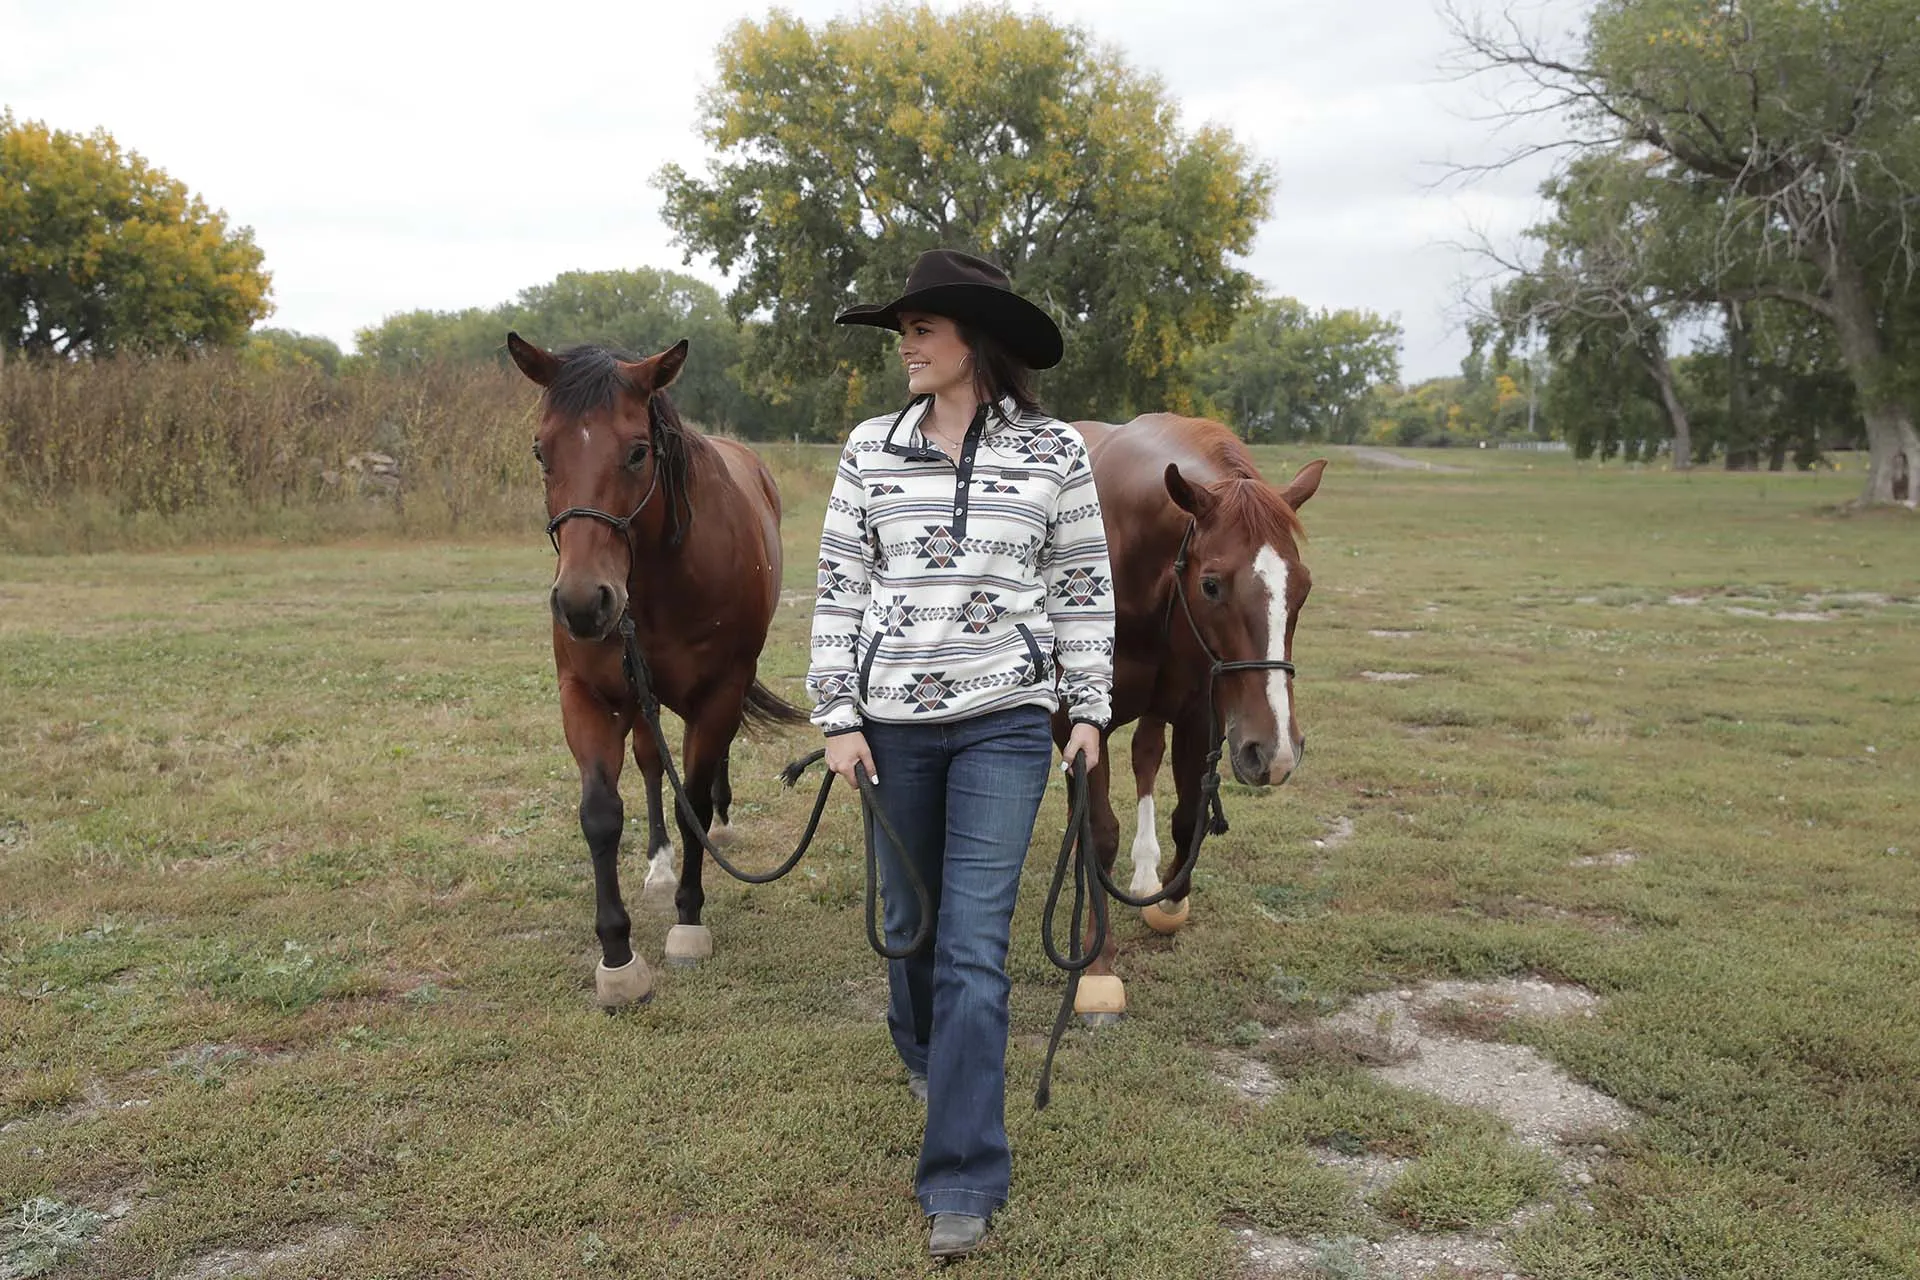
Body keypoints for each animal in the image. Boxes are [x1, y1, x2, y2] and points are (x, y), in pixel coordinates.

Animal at [503, 333, 802, 1013]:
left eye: (638, 451)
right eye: (541, 451)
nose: (583, 603)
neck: (660, 580)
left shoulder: (718, 693)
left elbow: (692, 797)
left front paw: (689, 925)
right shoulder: (589, 697)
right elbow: (601, 813)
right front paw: (618, 957)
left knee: (703, 781)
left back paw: (721, 823)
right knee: (647, 762)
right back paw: (660, 864)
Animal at [1052, 416, 1320, 1028]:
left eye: (1303, 587)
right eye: (1211, 585)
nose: (1276, 751)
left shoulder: (1203, 715)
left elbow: (1186, 816)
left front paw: (1170, 902)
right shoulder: (1080, 718)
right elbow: (1098, 830)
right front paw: (1097, 971)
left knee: (1145, 757)